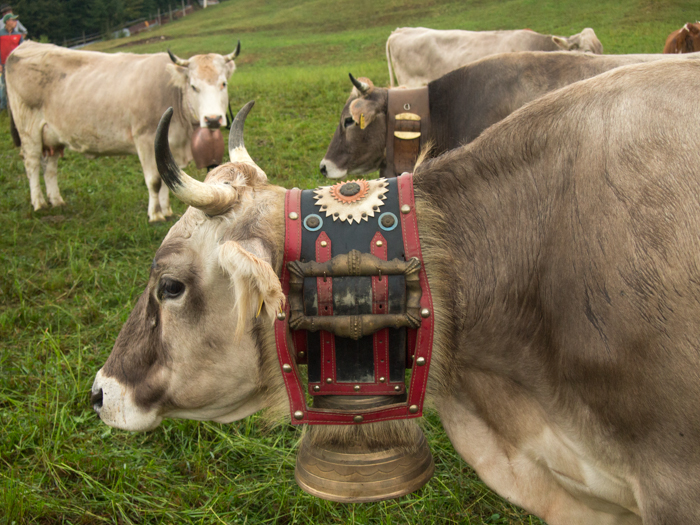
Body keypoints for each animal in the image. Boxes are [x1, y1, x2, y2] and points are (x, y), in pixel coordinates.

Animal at [4, 40, 241, 221]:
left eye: (223, 83)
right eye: (193, 86)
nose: (212, 119)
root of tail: (26, 45)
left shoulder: (163, 143)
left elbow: (165, 176)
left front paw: (166, 211)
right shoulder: (145, 138)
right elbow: (154, 181)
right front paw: (155, 215)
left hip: (52, 135)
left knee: (50, 167)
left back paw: (56, 200)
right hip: (29, 130)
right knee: (32, 164)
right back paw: (39, 203)